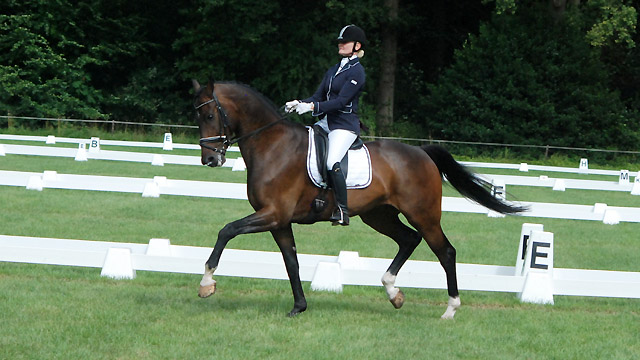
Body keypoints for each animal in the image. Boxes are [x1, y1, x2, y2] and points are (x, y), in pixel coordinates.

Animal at [191, 79, 524, 318]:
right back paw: (393, 292)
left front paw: (206, 283)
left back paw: (450, 308)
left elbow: (227, 230)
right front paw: (299, 307)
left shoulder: (273, 213)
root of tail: (422, 152)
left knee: (446, 252)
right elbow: (291, 261)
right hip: (379, 215)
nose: (210, 160)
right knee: (409, 239)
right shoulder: (279, 220)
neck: (273, 145)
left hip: (424, 214)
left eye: (209, 115)